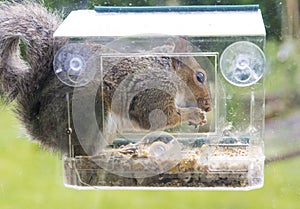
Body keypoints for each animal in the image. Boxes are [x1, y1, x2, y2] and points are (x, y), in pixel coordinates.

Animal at [0, 1, 211, 155]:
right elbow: (159, 117)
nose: (208, 106)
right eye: (200, 76)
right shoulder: (155, 90)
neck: (168, 71)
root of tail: (42, 130)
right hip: (91, 113)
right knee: (83, 152)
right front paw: (195, 114)